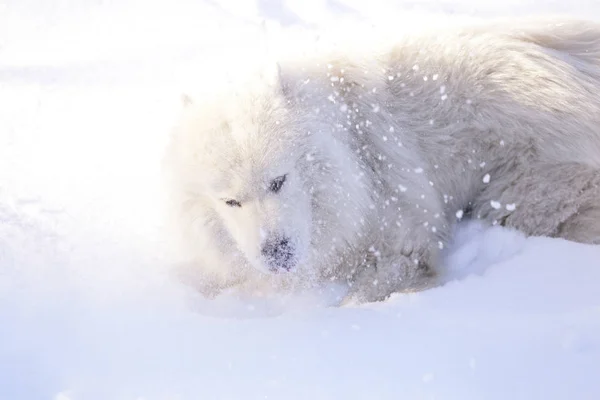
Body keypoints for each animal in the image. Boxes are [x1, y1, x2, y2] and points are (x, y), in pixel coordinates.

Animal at [162, 17, 600, 302]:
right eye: (230, 202)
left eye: (278, 181)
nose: (276, 254)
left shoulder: (402, 238)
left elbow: (365, 293)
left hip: (521, 198)